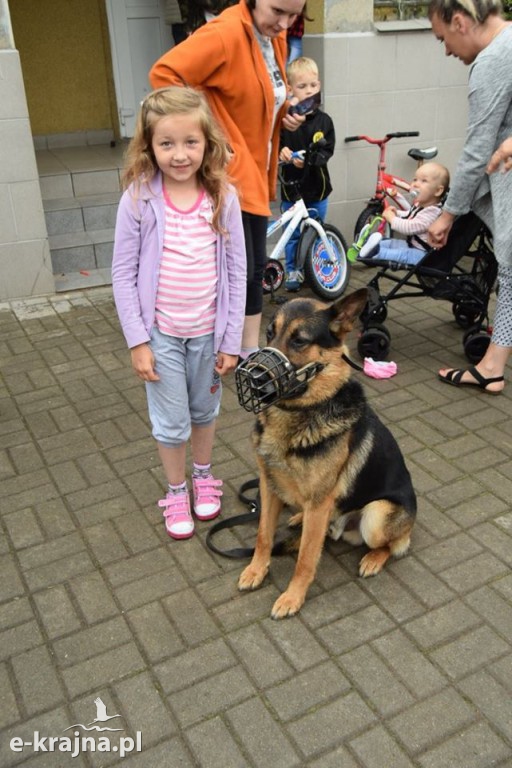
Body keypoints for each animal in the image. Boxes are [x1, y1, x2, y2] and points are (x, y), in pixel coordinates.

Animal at [238, 288, 418, 616]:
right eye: (269, 333)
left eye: (299, 340)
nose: (254, 379)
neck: (300, 413)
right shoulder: (268, 486)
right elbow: (263, 535)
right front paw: (256, 570)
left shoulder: (319, 504)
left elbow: (306, 558)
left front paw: (292, 597)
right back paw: (299, 517)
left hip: (376, 515)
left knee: (394, 544)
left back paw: (373, 559)